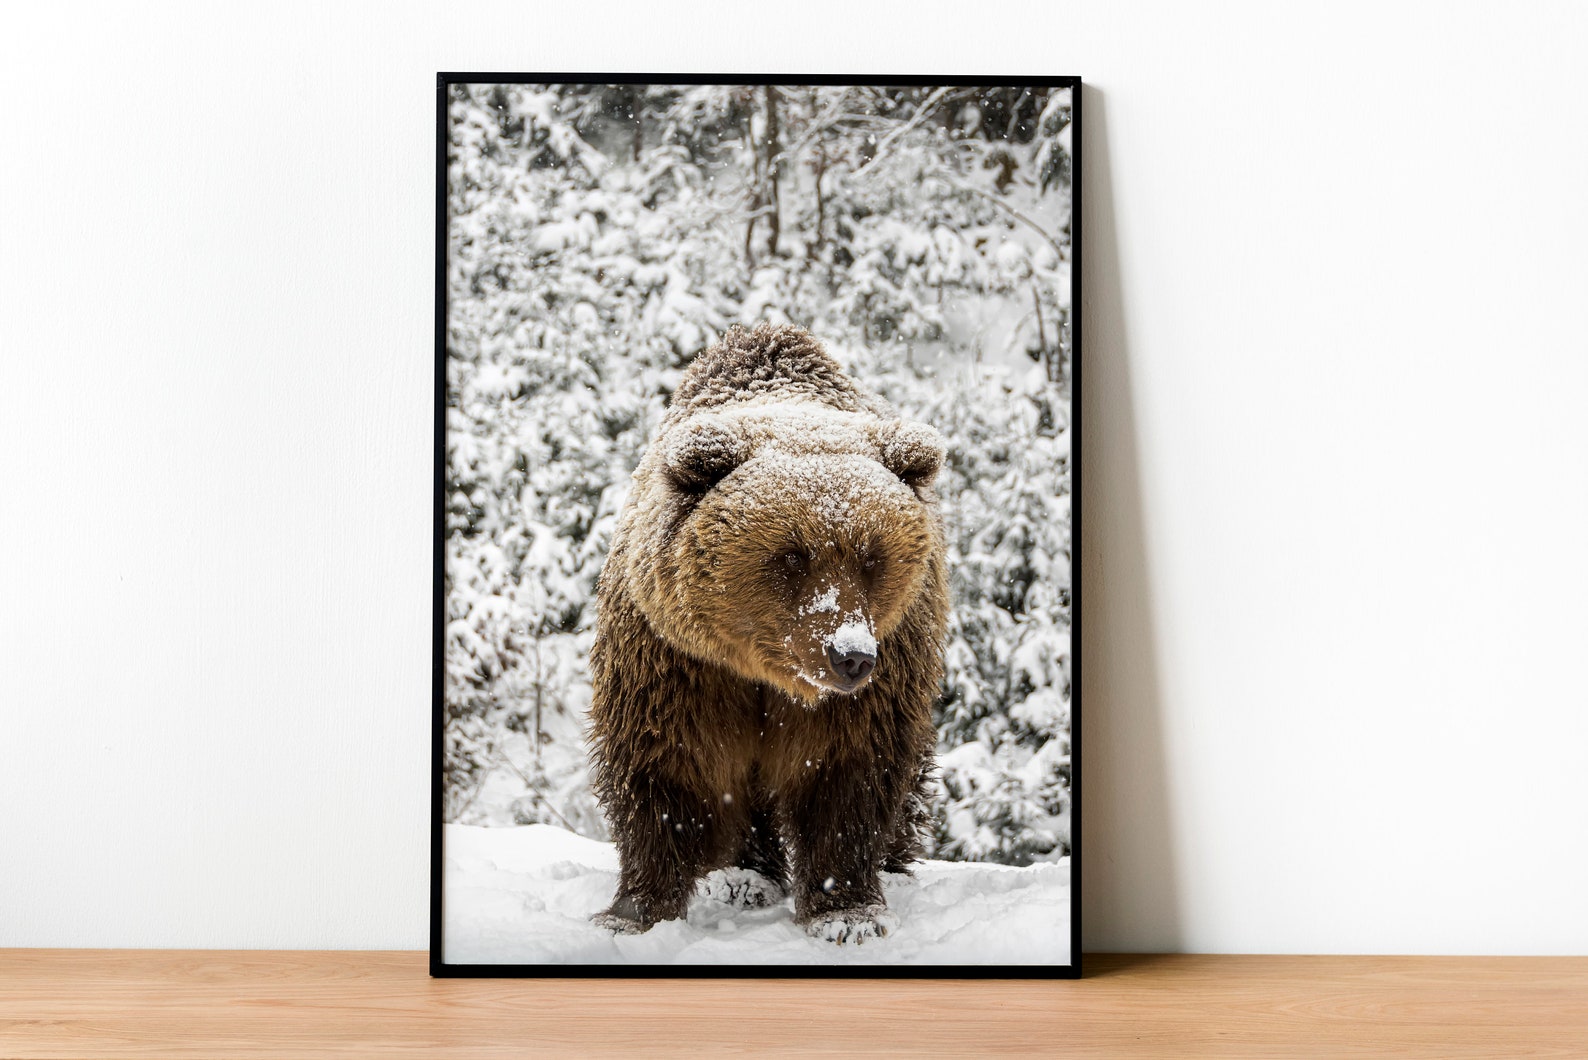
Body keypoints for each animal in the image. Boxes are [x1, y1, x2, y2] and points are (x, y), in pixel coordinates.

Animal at [587, 323, 949, 945]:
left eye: (872, 557)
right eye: (791, 556)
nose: (850, 655)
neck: (763, 669)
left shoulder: (874, 681)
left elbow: (845, 775)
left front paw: (845, 912)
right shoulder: (679, 664)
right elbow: (666, 770)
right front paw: (633, 912)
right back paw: (742, 878)